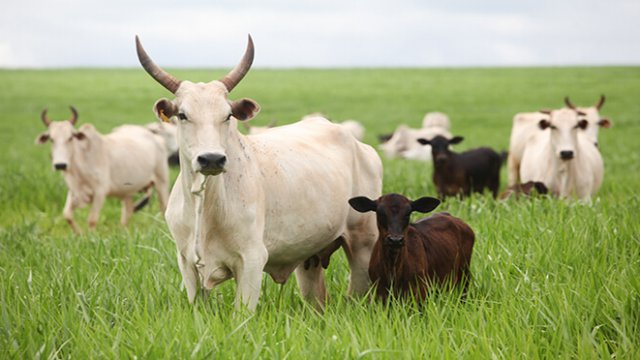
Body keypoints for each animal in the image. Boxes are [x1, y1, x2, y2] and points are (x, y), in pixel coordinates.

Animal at [35, 107, 168, 232]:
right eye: (51, 139)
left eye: (70, 137)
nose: (60, 165)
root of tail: (155, 136)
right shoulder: (74, 192)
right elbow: (67, 215)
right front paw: (80, 234)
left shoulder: (100, 192)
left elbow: (92, 219)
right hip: (127, 191)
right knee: (127, 212)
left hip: (161, 182)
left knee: (164, 208)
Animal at [136, 34, 382, 310]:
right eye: (182, 114)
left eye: (228, 115)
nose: (212, 159)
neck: (206, 204)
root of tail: (359, 145)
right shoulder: (187, 265)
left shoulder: (251, 261)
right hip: (310, 260)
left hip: (363, 244)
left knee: (359, 291)